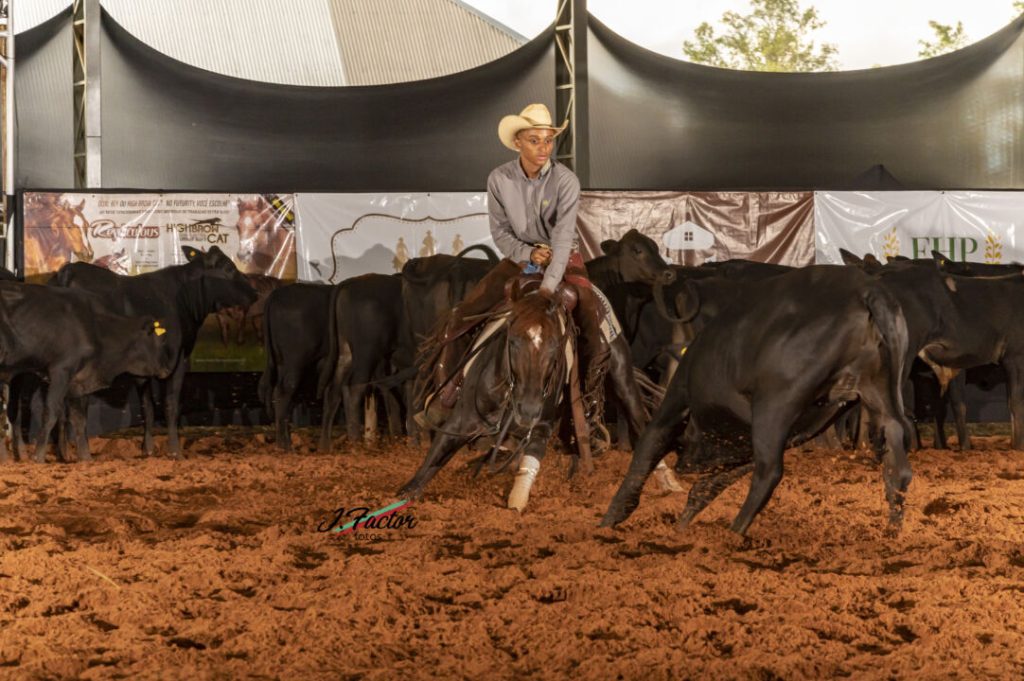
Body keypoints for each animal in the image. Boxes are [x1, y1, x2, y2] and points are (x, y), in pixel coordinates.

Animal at [0, 280, 174, 462]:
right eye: (160, 340)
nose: (167, 368)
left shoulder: (79, 379)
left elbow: (79, 420)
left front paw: (86, 458)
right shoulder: (61, 371)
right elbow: (51, 412)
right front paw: (38, 457)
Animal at [53, 244, 258, 456]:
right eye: (229, 268)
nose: (254, 291)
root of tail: (70, 270)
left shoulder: (144, 367)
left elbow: (148, 407)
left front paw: (148, 449)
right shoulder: (178, 357)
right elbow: (171, 404)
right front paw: (175, 451)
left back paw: (64, 453)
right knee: (76, 408)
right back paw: (83, 453)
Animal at [598, 266, 913, 536]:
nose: (685, 463)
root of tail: (866, 290)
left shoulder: (676, 404)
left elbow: (644, 455)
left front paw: (606, 523)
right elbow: (712, 483)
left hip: (775, 405)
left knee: (769, 472)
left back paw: (734, 533)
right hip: (878, 393)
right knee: (899, 465)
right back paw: (892, 532)